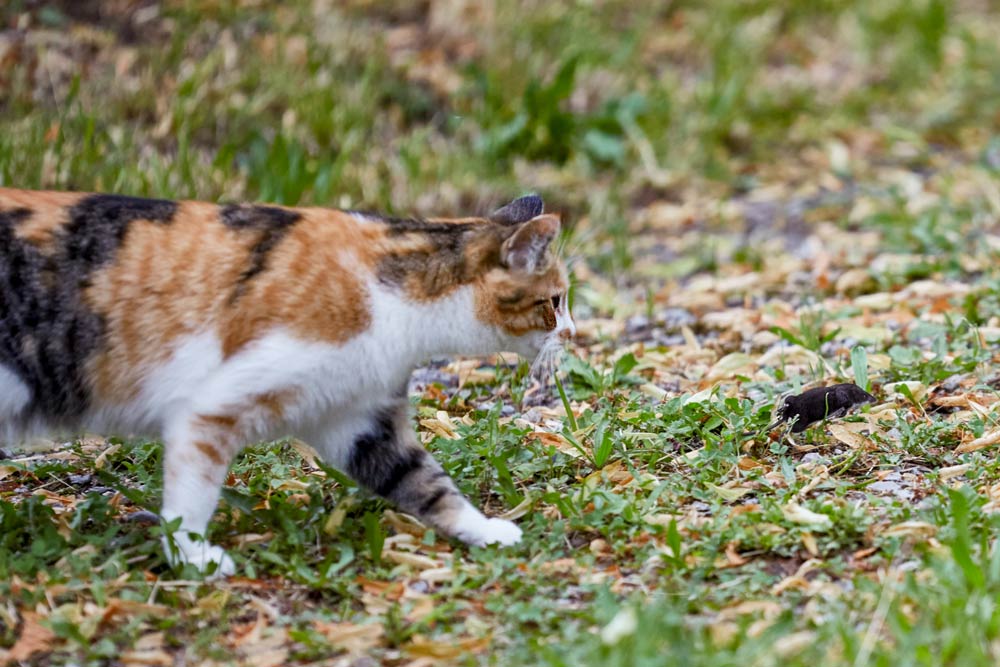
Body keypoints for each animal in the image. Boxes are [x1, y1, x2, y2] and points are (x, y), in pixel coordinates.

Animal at [0, 188, 576, 576]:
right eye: (554, 300)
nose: (573, 332)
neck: (395, 289)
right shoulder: (210, 409)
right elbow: (192, 496)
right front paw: (192, 557)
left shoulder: (360, 419)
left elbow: (425, 483)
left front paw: (485, 531)